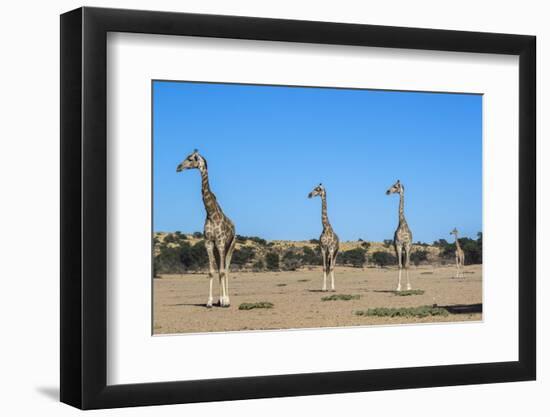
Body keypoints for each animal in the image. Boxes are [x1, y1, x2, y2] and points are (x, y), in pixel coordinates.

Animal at [178, 149, 236, 306]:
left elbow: (222, 271)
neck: (211, 213)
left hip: (230, 246)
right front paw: (210, 301)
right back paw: (220, 299)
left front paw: (225, 301)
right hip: (217, 249)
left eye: (190, 158)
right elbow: (211, 271)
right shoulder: (209, 242)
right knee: (221, 268)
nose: (178, 167)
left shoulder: (221, 242)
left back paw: (226, 299)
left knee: (226, 269)